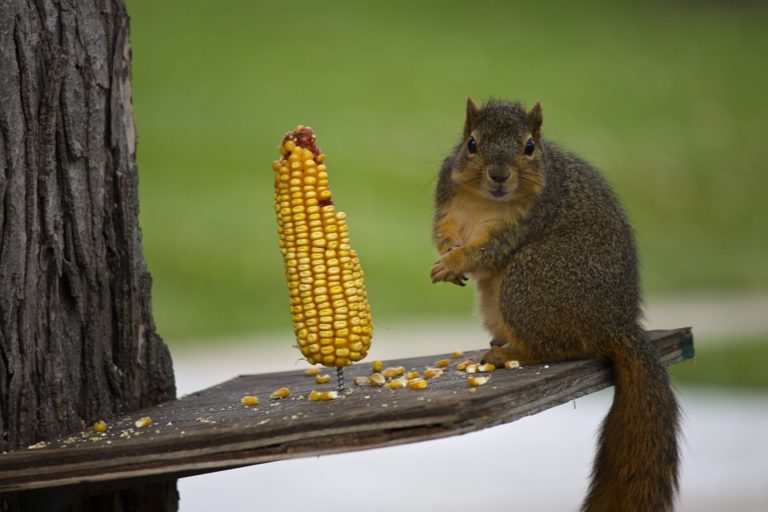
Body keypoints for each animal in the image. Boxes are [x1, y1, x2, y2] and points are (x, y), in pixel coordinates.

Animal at [431, 99, 680, 512]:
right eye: (471, 143)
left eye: (530, 146)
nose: (499, 175)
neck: (484, 200)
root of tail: (615, 325)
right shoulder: (448, 199)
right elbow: (443, 232)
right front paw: (446, 257)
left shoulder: (528, 220)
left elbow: (487, 251)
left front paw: (456, 261)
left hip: (530, 280)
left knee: (559, 349)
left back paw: (511, 354)